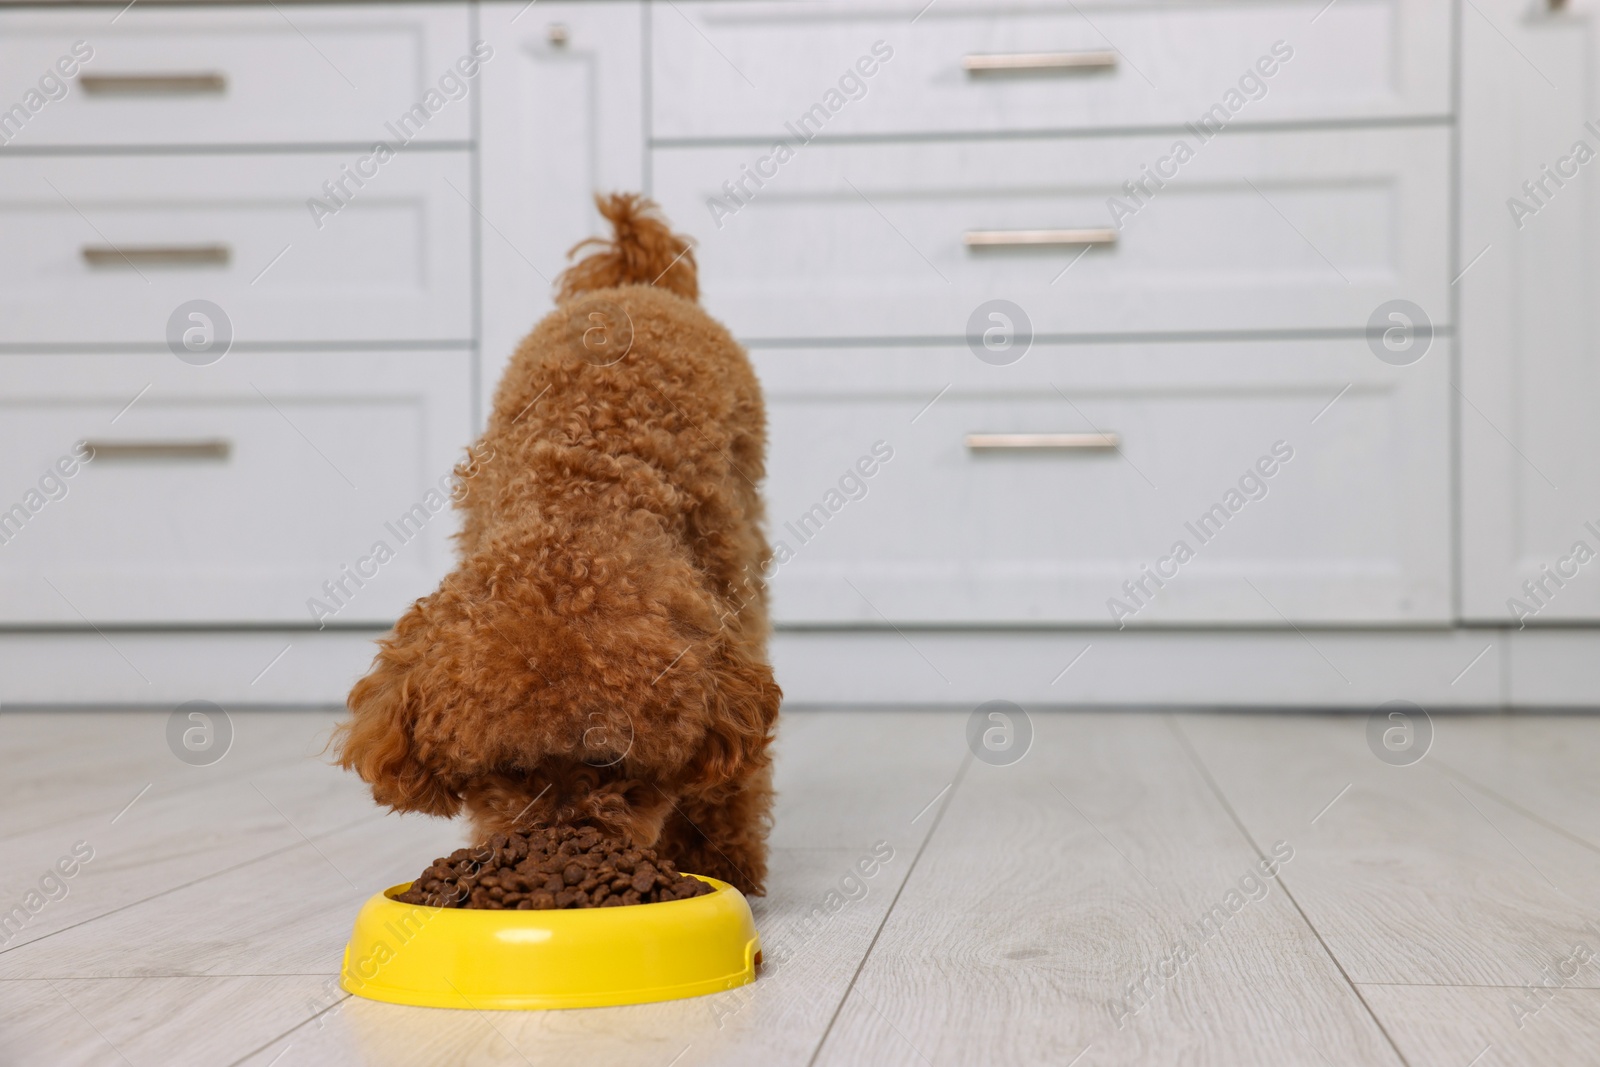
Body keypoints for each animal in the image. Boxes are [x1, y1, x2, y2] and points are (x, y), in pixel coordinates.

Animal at [336, 191, 780, 895]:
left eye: (614, 766)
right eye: (511, 771)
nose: (562, 843)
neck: (576, 507)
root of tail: (632, 284)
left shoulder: (729, 622)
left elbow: (730, 780)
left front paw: (718, 859)